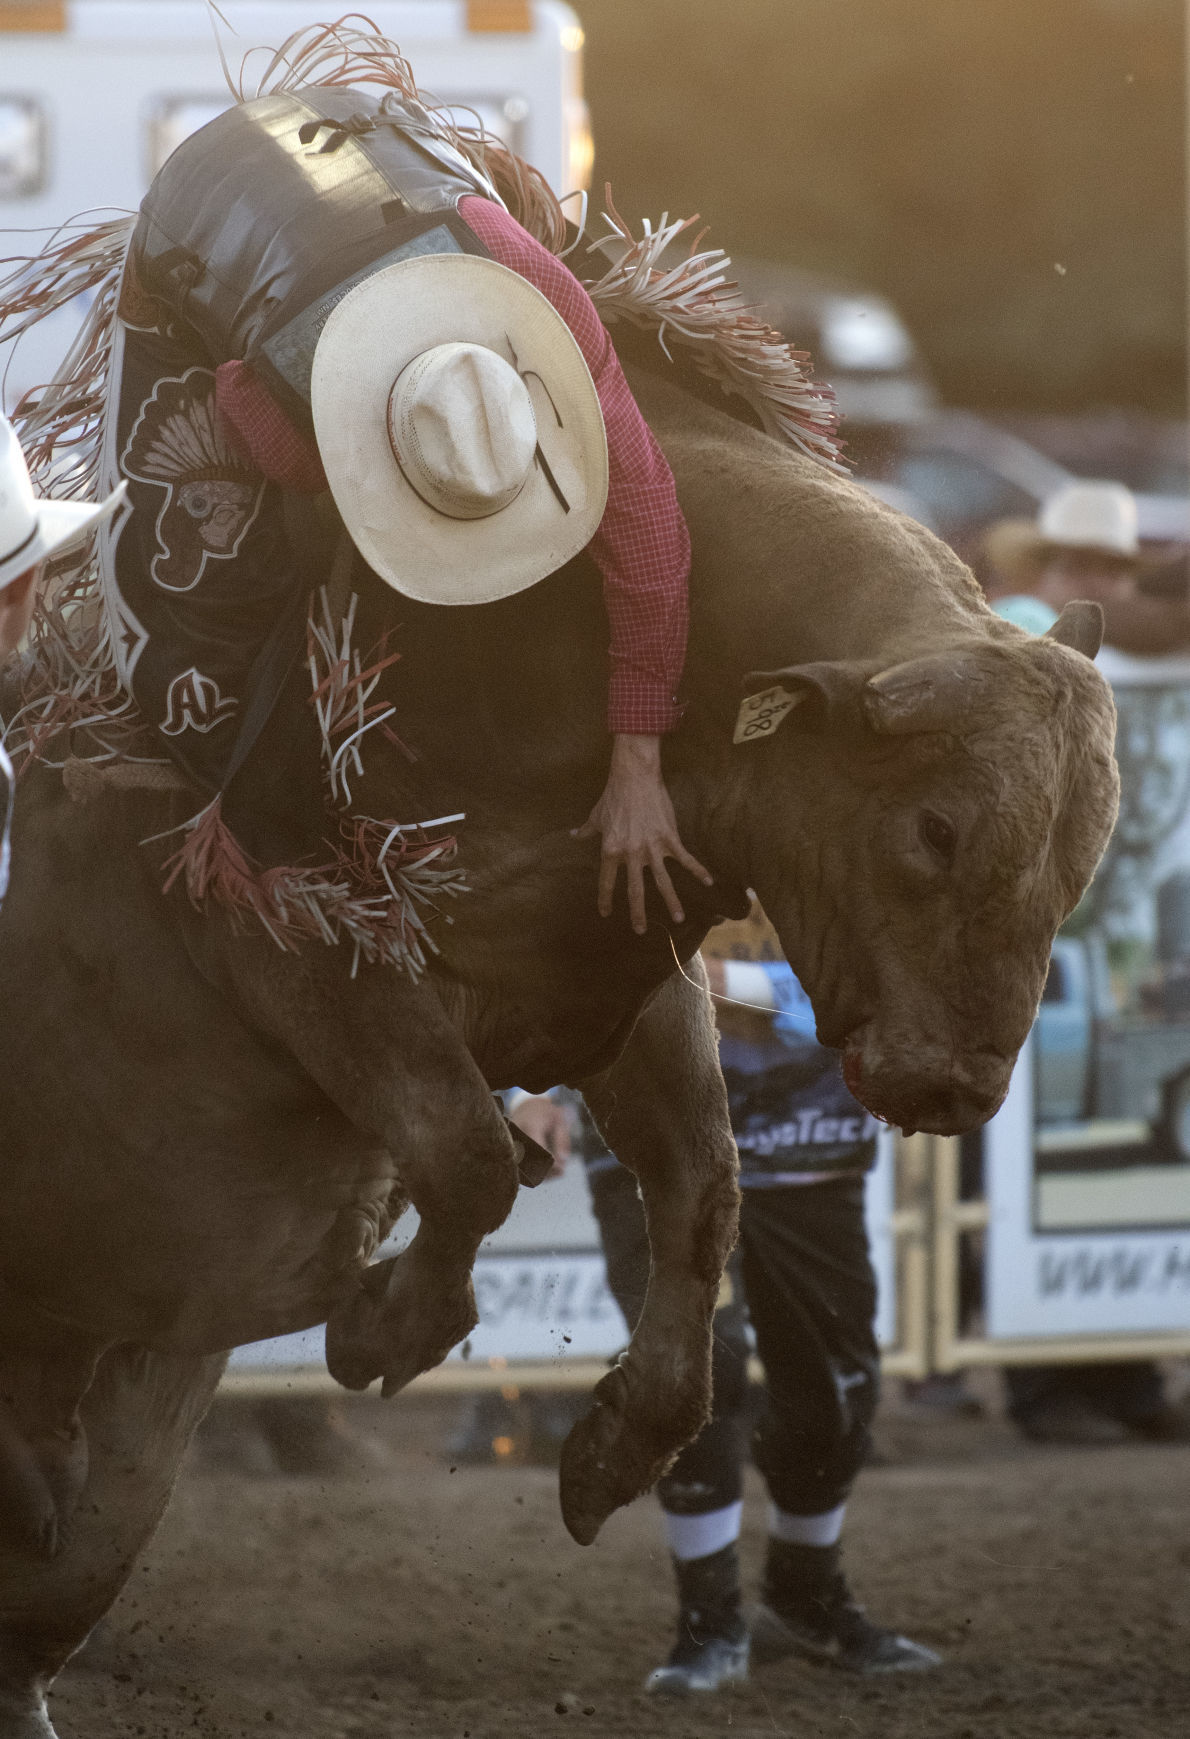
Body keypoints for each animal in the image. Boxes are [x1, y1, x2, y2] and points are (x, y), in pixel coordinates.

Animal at [0, 373, 1113, 1732]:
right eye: (936, 826)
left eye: (1081, 852)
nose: (957, 1081)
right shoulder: (278, 917)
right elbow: (469, 1149)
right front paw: (388, 1324)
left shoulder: (629, 970)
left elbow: (700, 1192)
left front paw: (615, 1442)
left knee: (66, 1558)